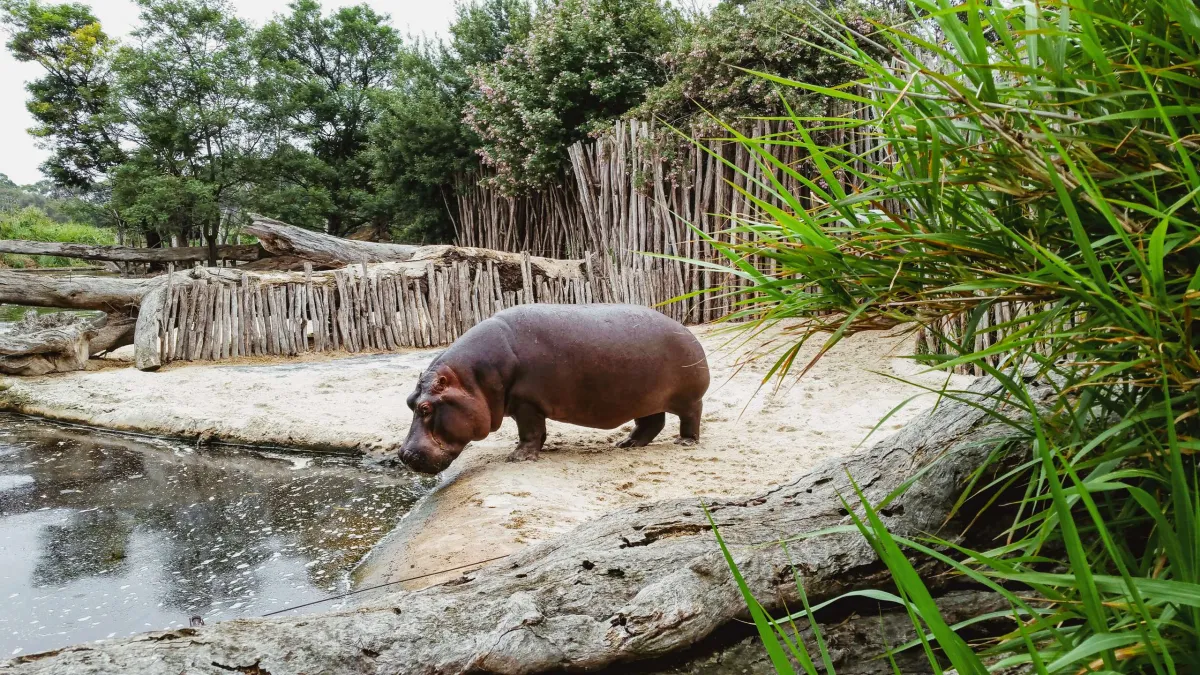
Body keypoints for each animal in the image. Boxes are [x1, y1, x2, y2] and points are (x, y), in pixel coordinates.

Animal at [397, 304, 709, 474]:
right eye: (409, 401)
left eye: (425, 407)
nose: (403, 456)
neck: (470, 379)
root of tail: (688, 331)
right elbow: (536, 432)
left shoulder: (526, 403)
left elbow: (531, 432)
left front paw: (517, 458)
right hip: (644, 399)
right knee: (651, 423)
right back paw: (627, 444)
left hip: (687, 398)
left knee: (690, 417)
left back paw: (685, 442)